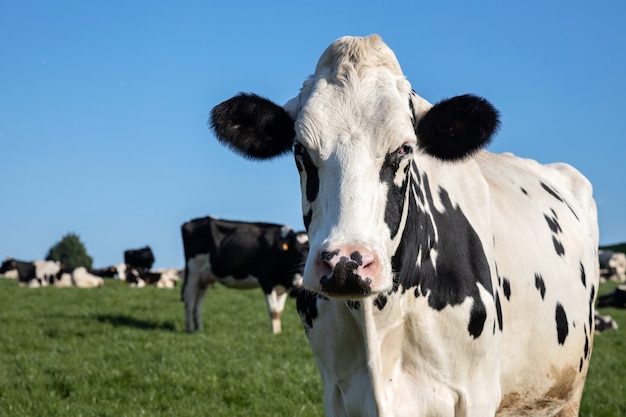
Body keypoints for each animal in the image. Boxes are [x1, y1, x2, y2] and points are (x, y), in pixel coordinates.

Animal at [180, 216, 308, 334]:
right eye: (295, 251)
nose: (300, 281)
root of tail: (190, 221)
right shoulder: (266, 282)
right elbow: (273, 311)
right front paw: (274, 333)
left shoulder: (284, 286)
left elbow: (279, 311)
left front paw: (278, 332)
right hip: (193, 271)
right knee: (189, 300)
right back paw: (189, 329)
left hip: (204, 278)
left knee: (198, 303)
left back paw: (199, 328)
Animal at [211, 35, 600, 416]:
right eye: (300, 150)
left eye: (404, 149)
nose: (346, 263)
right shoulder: (336, 393)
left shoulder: (477, 394)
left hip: (569, 390)